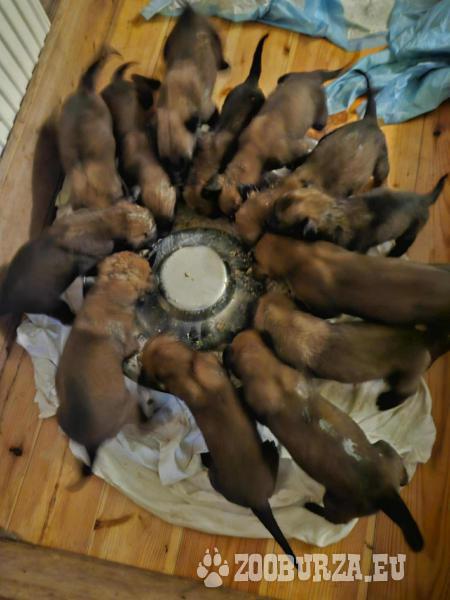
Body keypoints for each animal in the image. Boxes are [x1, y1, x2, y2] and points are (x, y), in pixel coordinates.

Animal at [56, 252, 154, 475]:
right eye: (146, 272)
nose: (157, 281)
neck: (106, 289)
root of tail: (90, 444)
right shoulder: (128, 340)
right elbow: (134, 343)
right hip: (128, 406)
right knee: (143, 425)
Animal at [155, 5, 229, 184]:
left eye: (185, 161)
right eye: (165, 163)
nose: (178, 182)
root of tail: (188, 12)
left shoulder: (209, 109)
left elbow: (214, 122)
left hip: (215, 40)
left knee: (220, 55)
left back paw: (224, 65)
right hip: (167, 48)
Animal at [207, 66, 345, 215]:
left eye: (236, 208)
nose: (232, 218)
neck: (252, 149)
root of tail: (314, 75)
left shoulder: (297, 148)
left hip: (319, 119)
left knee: (322, 123)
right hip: (284, 78)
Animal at [225, 330, 424, 551]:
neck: (267, 368)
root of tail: (387, 492)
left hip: (333, 501)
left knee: (334, 518)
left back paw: (311, 506)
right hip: (383, 446)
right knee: (401, 470)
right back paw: (404, 478)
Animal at [269, 174, 447, 255]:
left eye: (278, 221)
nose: (267, 222)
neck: (334, 213)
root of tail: (423, 199)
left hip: (410, 232)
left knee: (403, 245)